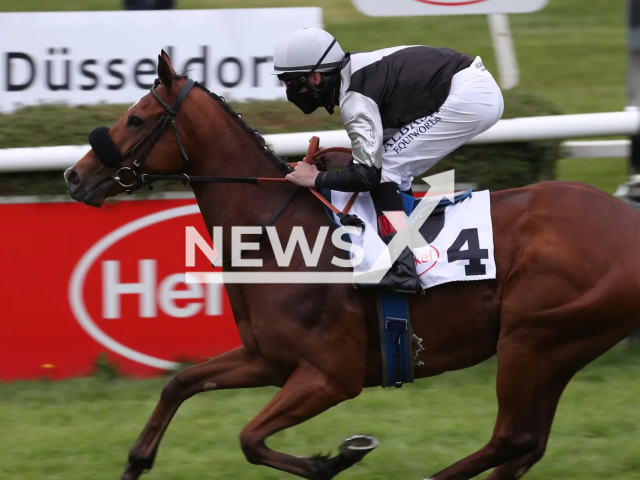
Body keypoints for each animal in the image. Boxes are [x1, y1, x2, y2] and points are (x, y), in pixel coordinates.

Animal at [63, 51, 640, 480]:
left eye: (136, 118)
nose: (73, 176)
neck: (280, 234)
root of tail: (626, 219)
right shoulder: (268, 359)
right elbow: (180, 384)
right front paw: (136, 461)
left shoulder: (330, 376)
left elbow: (250, 437)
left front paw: (337, 457)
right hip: (558, 347)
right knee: (527, 444)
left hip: (532, 339)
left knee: (512, 437)